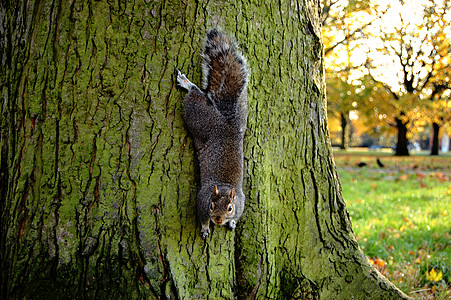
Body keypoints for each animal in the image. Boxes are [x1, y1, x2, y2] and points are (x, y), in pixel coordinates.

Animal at [177, 28, 249, 239]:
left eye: (230, 208)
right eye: (212, 205)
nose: (218, 219)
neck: (223, 186)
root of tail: (225, 118)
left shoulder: (242, 203)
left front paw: (232, 223)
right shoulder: (201, 201)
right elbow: (201, 218)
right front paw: (205, 228)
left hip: (241, 112)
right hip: (197, 116)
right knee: (194, 93)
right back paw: (186, 83)